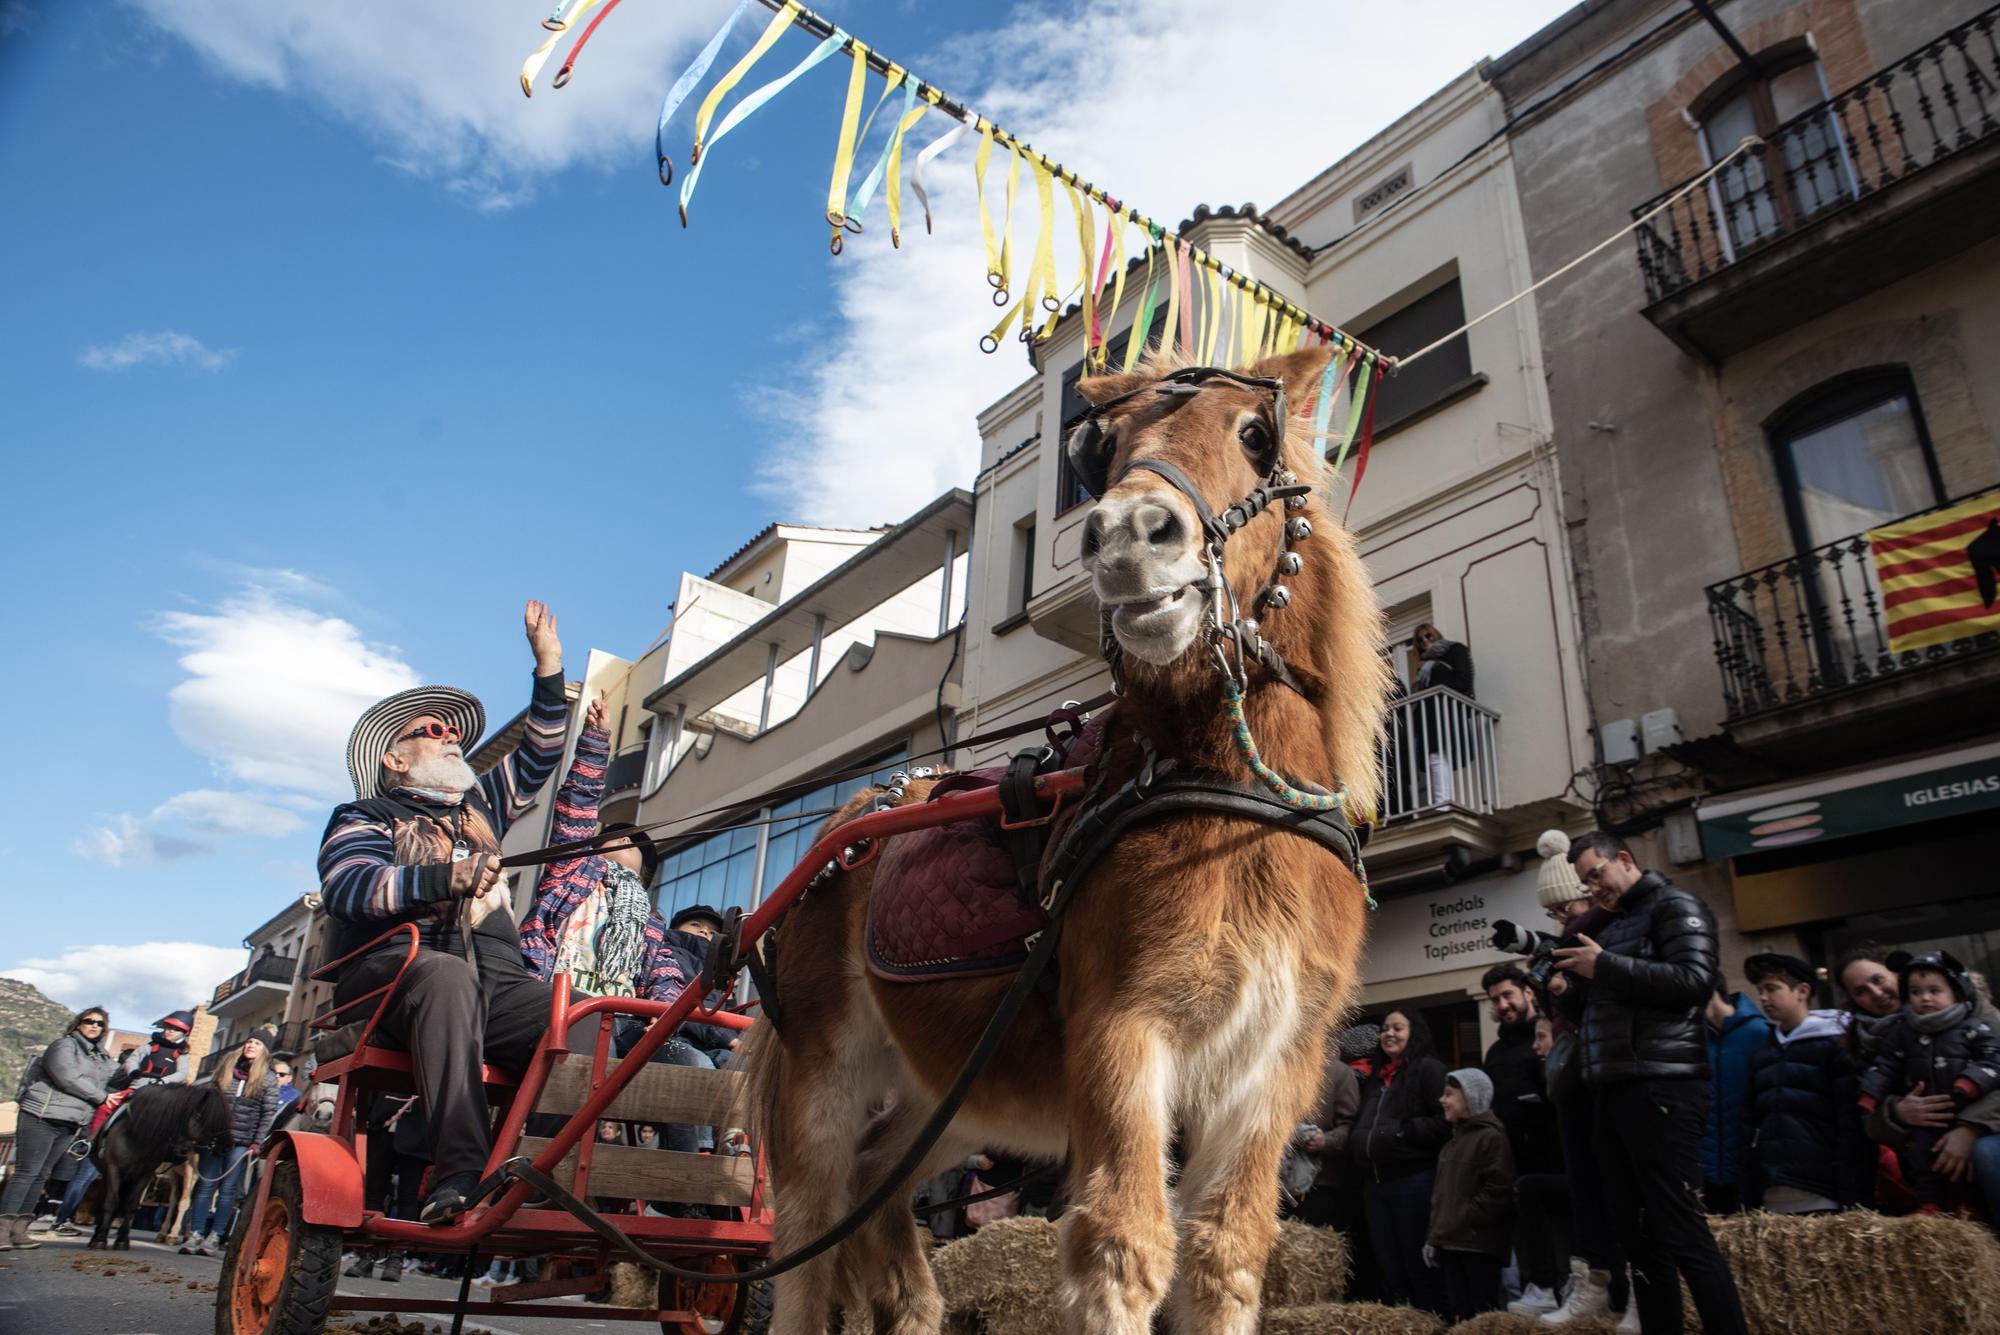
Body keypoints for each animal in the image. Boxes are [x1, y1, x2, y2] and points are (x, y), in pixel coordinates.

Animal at [85, 1087, 230, 1255]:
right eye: (206, 1117)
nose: (227, 1145)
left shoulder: (149, 1174)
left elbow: (133, 1204)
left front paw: (121, 1239)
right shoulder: (115, 1169)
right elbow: (112, 1201)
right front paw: (101, 1239)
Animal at [740, 347, 1392, 1335]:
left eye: (1254, 434)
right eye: (1104, 447)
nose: (1125, 534)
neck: (1229, 803)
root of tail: (853, 824)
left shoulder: (1274, 1065)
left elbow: (1226, 1258)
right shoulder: (1121, 1033)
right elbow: (1124, 1248)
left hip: (958, 1093)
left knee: (876, 1184)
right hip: (825, 1072)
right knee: (810, 1232)